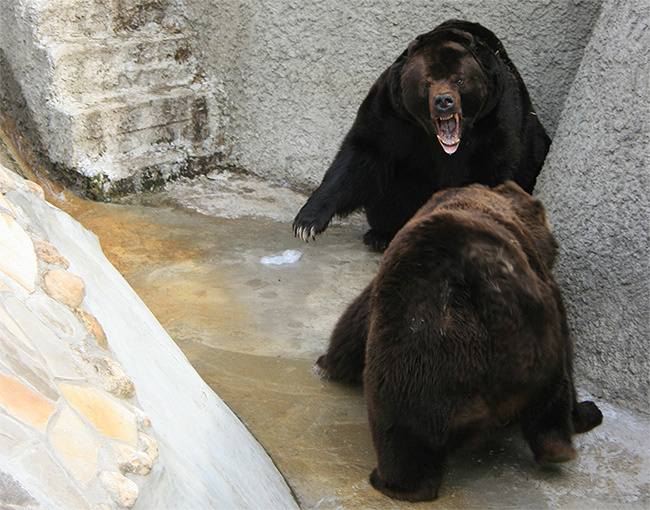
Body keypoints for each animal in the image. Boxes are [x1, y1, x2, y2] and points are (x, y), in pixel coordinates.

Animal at [293, 20, 551, 251]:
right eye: (426, 83)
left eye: (459, 79)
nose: (444, 101)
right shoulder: (393, 113)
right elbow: (362, 154)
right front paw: (306, 223)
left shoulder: (494, 119)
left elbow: (486, 174)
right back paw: (381, 235)